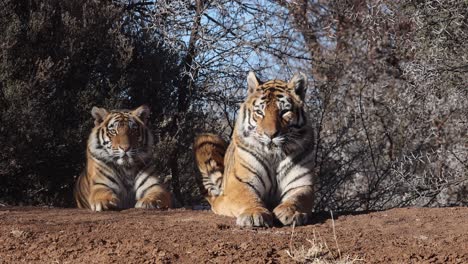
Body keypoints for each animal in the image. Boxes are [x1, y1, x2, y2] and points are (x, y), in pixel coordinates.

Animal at [194, 71, 314, 227]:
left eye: (285, 111)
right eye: (259, 112)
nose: (271, 134)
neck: (274, 156)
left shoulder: (302, 184)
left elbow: (298, 198)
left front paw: (290, 212)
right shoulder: (240, 182)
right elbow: (247, 197)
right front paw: (253, 214)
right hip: (206, 138)